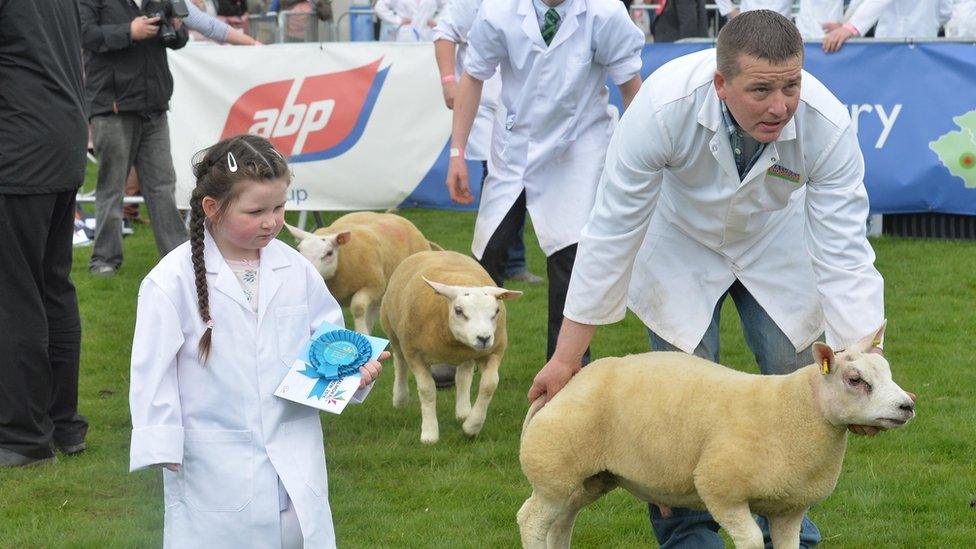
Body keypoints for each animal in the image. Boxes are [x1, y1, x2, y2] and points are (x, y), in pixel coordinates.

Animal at [380, 250, 520, 444]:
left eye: (496, 311)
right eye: (459, 310)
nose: (484, 338)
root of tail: (433, 251)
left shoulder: (493, 352)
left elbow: (489, 385)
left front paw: (471, 427)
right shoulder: (415, 354)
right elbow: (427, 390)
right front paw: (429, 434)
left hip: (468, 354)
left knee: (463, 376)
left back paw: (464, 412)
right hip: (393, 331)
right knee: (400, 363)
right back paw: (400, 399)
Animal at [520, 326, 916, 548]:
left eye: (886, 371)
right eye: (855, 380)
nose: (907, 405)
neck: (793, 410)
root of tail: (569, 382)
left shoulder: (789, 509)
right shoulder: (722, 491)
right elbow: (752, 540)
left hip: (592, 477)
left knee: (562, 520)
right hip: (555, 472)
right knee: (531, 520)